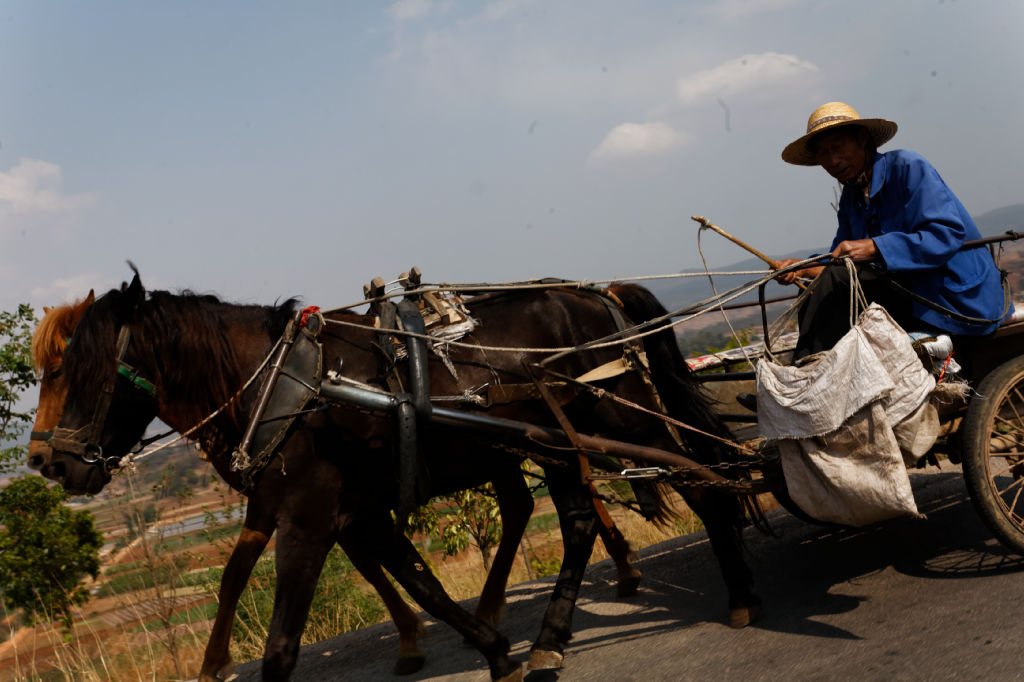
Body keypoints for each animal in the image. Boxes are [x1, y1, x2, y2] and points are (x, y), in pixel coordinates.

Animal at [39, 272, 761, 679]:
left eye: (77, 370)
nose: (53, 463)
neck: (283, 388)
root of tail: (596, 293)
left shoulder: (309, 517)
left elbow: (281, 644)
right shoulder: (347, 509)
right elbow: (421, 584)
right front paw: (490, 650)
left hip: (625, 418)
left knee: (705, 478)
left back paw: (738, 593)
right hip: (557, 444)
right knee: (579, 518)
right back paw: (548, 640)